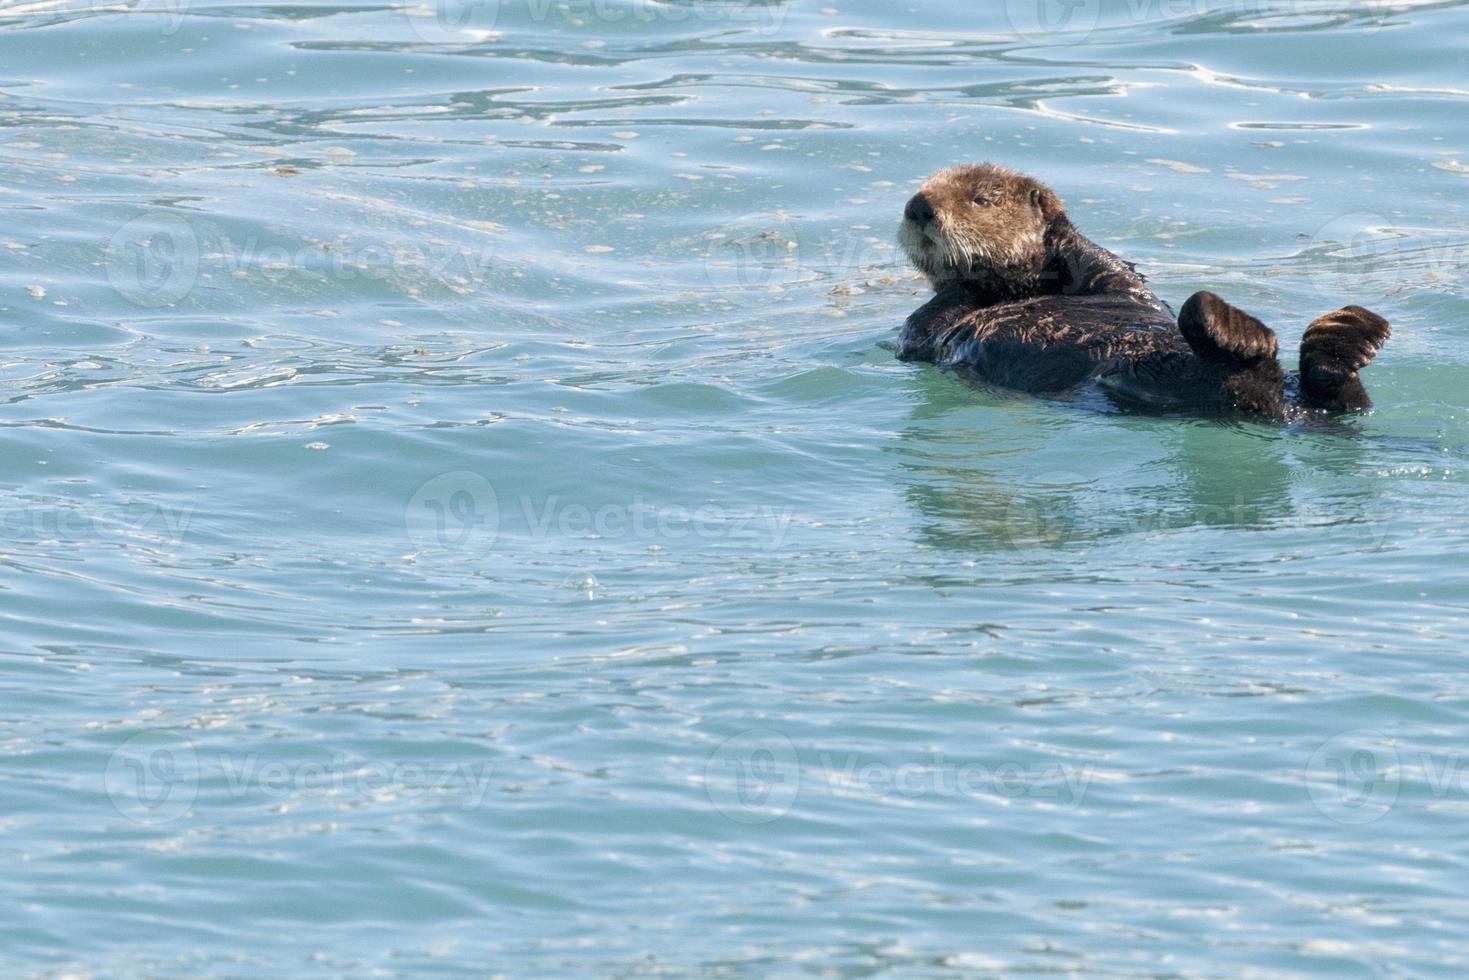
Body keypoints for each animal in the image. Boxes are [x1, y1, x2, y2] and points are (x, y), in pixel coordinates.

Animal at [893, 164, 1386, 417]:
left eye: (981, 200)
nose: (918, 206)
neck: (1017, 289)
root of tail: (1282, 408)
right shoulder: (919, 334)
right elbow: (931, 323)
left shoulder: (1107, 274)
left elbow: (1101, 264)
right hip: (1160, 380)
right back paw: (1241, 329)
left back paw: (1345, 332)